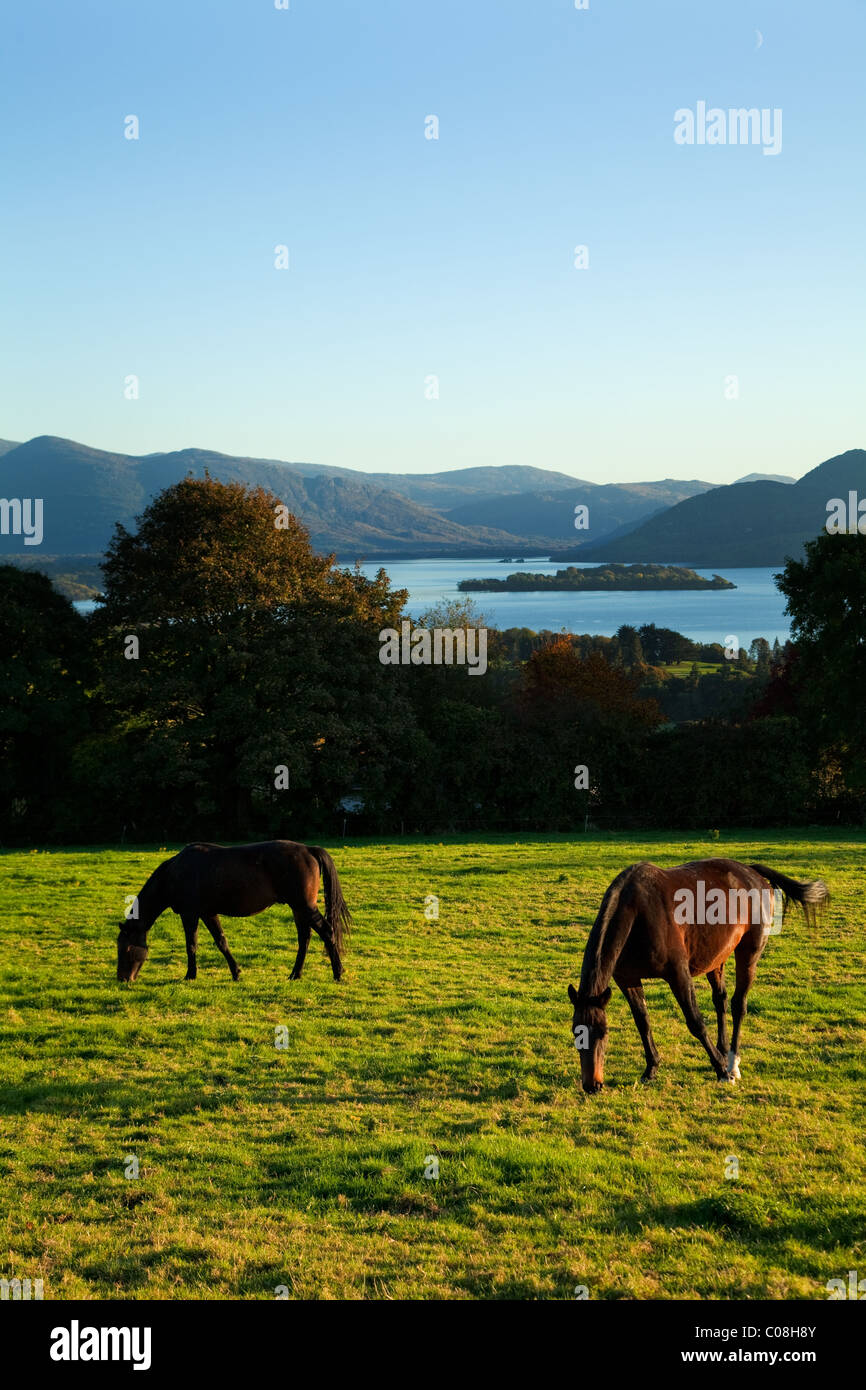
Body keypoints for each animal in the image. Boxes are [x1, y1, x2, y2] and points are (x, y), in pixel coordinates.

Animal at [116, 839, 354, 984]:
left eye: (125, 949)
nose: (123, 978)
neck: (174, 873)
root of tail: (309, 849)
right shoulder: (208, 913)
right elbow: (222, 942)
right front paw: (236, 973)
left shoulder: (190, 914)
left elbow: (191, 945)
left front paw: (190, 975)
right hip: (299, 909)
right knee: (305, 938)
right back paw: (296, 974)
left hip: (304, 906)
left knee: (327, 932)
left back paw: (338, 972)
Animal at [567, 856, 828, 1095]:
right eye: (576, 1032)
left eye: (602, 1033)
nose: (592, 1085)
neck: (637, 914)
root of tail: (751, 871)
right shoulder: (627, 979)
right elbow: (643, 1022)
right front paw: (651, 1068)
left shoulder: (679, 975)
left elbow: (696, 1022)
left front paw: (721, 1070)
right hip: (716, 958)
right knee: (721, 1001)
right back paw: (723, 1051)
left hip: (750, 952)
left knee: (738, 1004)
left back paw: (731, 1062)